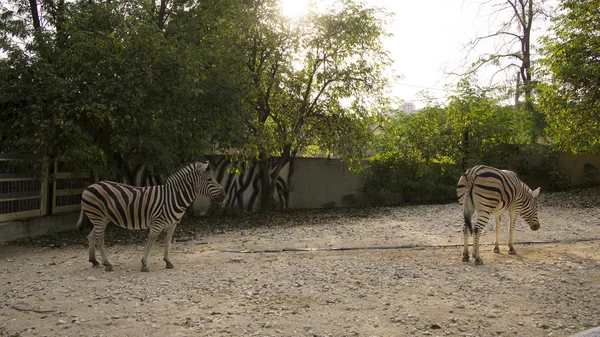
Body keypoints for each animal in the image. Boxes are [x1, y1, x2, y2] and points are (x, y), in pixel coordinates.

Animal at [75, 161, 225, 272]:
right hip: (98, 217)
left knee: (91, 236)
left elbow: (167, 242)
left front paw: (168, 262)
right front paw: (144, 264)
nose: (224, 196)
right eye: (209, 179)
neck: (173, 197)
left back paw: (94, 261)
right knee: (99, 238)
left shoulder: (172, 224)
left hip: (103, 218)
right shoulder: (157, 223)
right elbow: (151, 241)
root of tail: (89, 186)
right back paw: (107, 264)